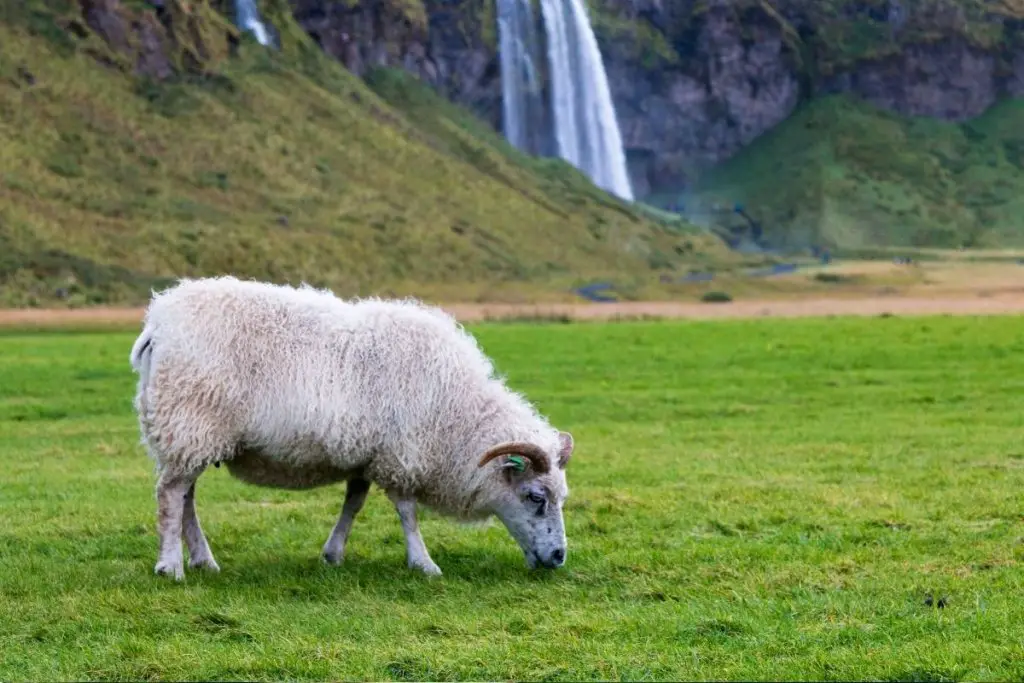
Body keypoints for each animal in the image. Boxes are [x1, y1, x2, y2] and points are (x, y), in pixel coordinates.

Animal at [129, 274, 577, 581]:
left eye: (561, 497)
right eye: (535, 497)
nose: (559, 557)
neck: (456, 415)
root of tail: (158, 322)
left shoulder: (366, 452)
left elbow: (354, 502)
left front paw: (333, 553)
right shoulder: (401, 453)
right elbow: (407, 511)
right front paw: (423, 563)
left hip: (189, 434)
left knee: (185, 496)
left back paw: (203, 560)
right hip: (189, 421)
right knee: (171, 495)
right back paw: (171, 566)